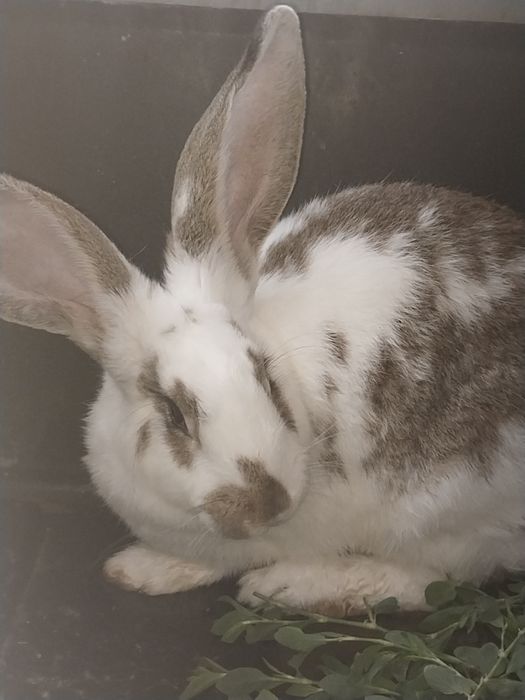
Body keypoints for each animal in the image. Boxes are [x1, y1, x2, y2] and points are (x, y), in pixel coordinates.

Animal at [1, 4, 524, 615]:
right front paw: (147, 567)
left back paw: (294, 584)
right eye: (173, 414)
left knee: (433, 579)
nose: (266, 503)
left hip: (446, 512)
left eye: (270, 383)